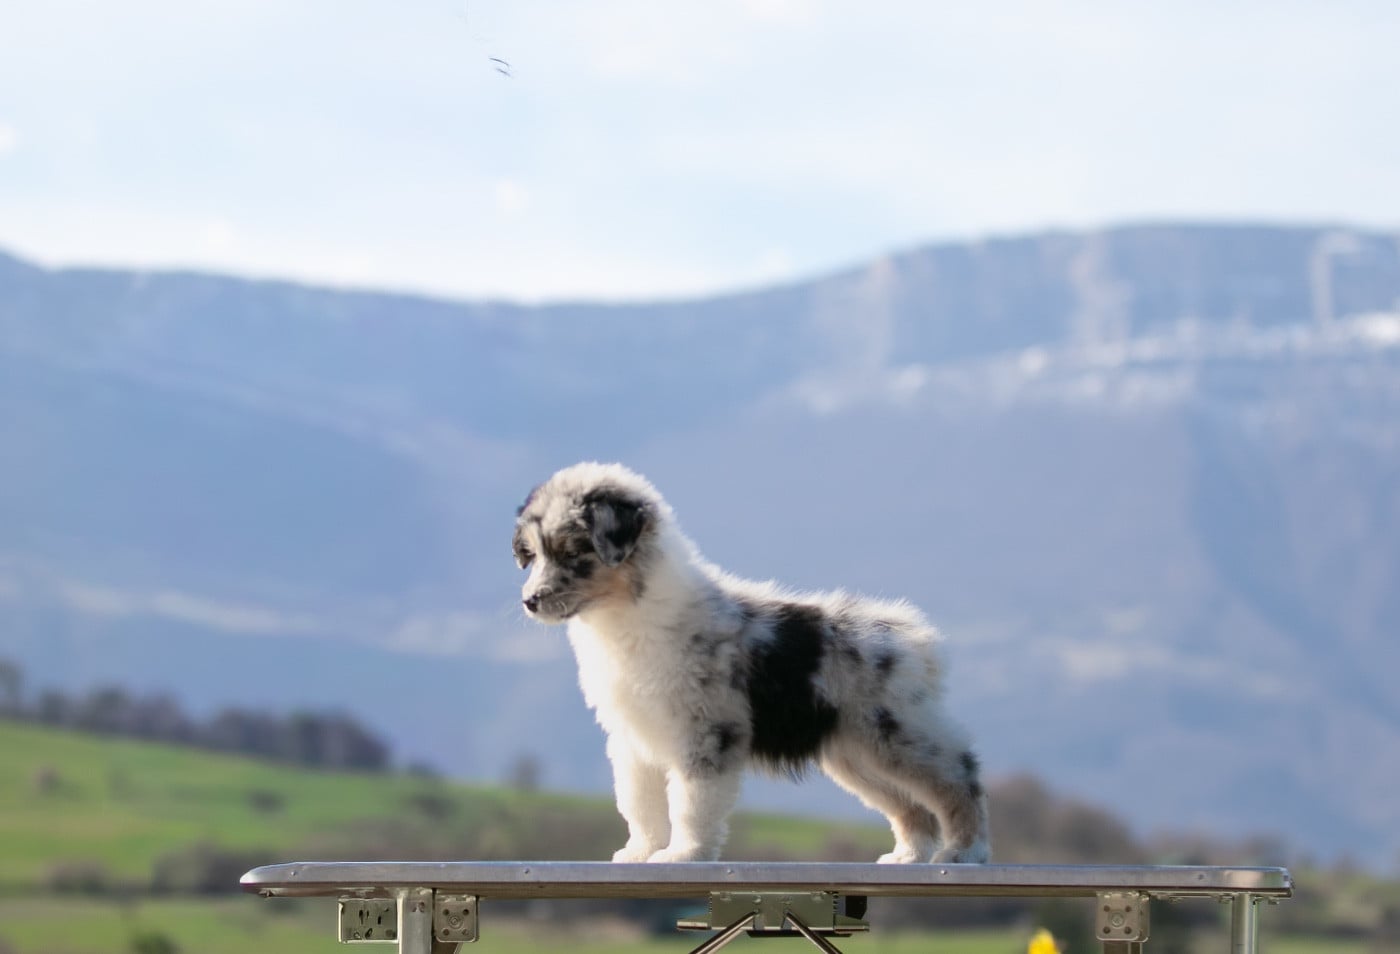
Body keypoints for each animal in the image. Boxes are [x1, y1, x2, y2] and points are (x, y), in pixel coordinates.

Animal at [513, 462, 990, 864]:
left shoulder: (707, 732)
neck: (627, 617)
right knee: (910, 805)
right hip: (856, 754)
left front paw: (684, 854)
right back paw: (908, 856)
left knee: (959, 776)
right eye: (532, 555)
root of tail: (917, 638)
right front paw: (639, 853)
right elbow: (640, 803)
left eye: (573, 554)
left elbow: (689, 802)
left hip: (897, 733)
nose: (529, 601)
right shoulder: (633, 737)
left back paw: (964, 852)